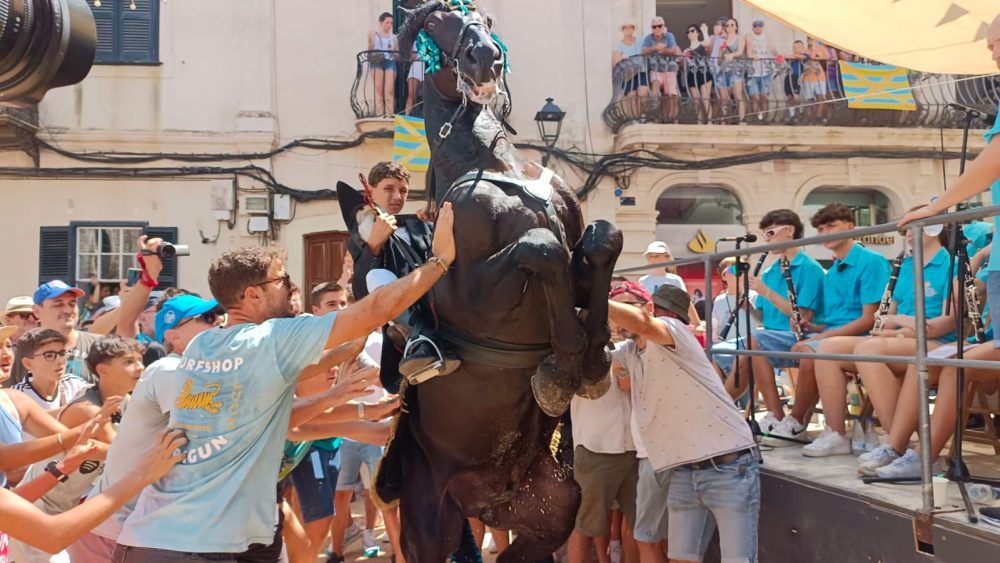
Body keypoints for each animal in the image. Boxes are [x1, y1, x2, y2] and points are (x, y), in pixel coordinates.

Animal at [376, 2, 624, 560]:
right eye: (435, 21)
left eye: (484, 18)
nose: (483, 56)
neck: (491, 162)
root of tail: (486, 499)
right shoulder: (475, 293)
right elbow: (541, 246)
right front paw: (564, 366)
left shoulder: (578, 256)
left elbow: (602, 240)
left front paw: (593, 357)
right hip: (428, 520)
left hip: (549, 507)